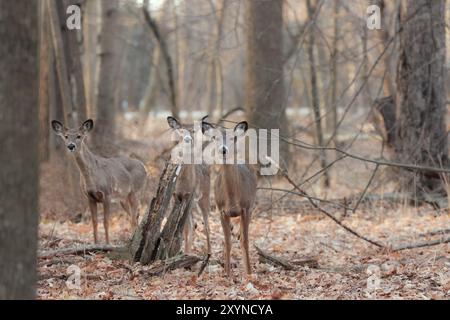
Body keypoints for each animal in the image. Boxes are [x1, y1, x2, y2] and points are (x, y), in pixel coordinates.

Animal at [167, 116, 213, 256]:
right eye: (181, 130)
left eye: (193, 130)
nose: (188, 139)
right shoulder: (174, 196)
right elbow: (180, 227)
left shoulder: (190, 195)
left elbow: (186, 228)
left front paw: (186, 252)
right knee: (194, 224)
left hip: (205, 196)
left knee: (206, 224)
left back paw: (209, 254)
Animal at [200, 119, 256, 276]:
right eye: (215, 138)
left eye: (233, 138)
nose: (223, 149)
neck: (232, 199)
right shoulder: (221, 211)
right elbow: (227, 242)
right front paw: (227, 274)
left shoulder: (246, 208)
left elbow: (245, 241)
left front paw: (249, 273)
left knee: (242, 237)